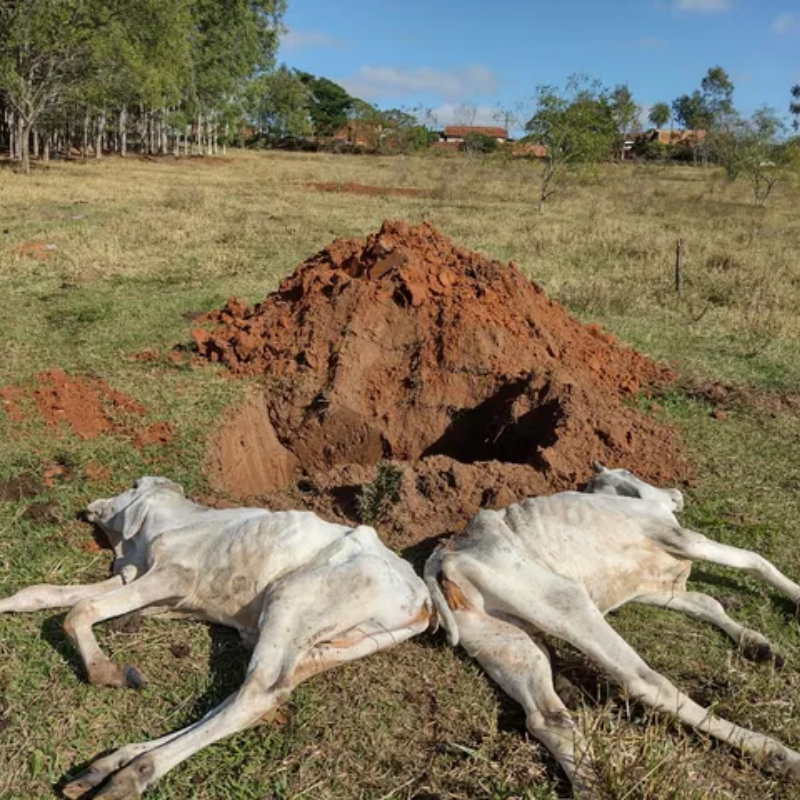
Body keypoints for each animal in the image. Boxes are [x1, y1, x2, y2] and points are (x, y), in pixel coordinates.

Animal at [0, 478, 432, 796]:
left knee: (257, 693)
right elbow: (43, 594)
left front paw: (108, 672)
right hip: (322, 647)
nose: (92, 504)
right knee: (245, 699)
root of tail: (422, 597)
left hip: (292, 598)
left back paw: (133, 774)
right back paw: (112, 763)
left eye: (133, 486)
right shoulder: (132, 578)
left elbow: (80, 611)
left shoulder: (172, 577)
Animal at [424, 466, 800, 796]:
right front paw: (795, 598)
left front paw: (756, 643)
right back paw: (778, 753)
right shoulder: (682, 538)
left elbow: (707, 602)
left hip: (505, 639)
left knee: (545, 718)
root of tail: (444, 555)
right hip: (568, 602)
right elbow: (756, 561)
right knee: (643, 682)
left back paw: (592, 785)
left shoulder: (652, 587)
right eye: (630, 474)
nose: (676, 493)